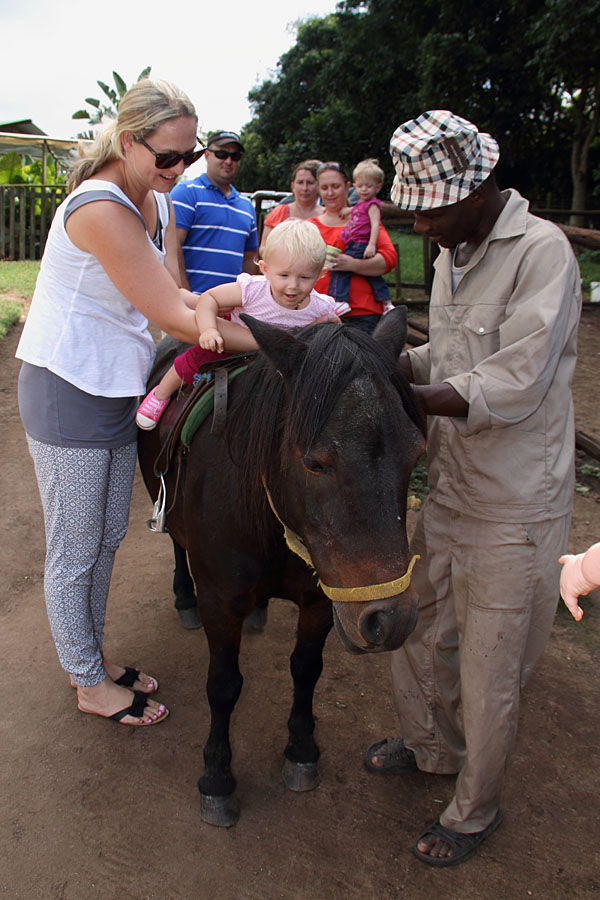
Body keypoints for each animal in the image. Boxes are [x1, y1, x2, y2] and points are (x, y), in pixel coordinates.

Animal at [136, 312, 426, 828]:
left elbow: (306, 670)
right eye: (315, 462)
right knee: (174, 543)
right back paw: (182, 596)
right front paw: (217, 778)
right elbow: (223, 686)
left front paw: (302, 750)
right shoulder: (220, 603)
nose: (392, 618)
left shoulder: (320, 601)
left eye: (415, 454)